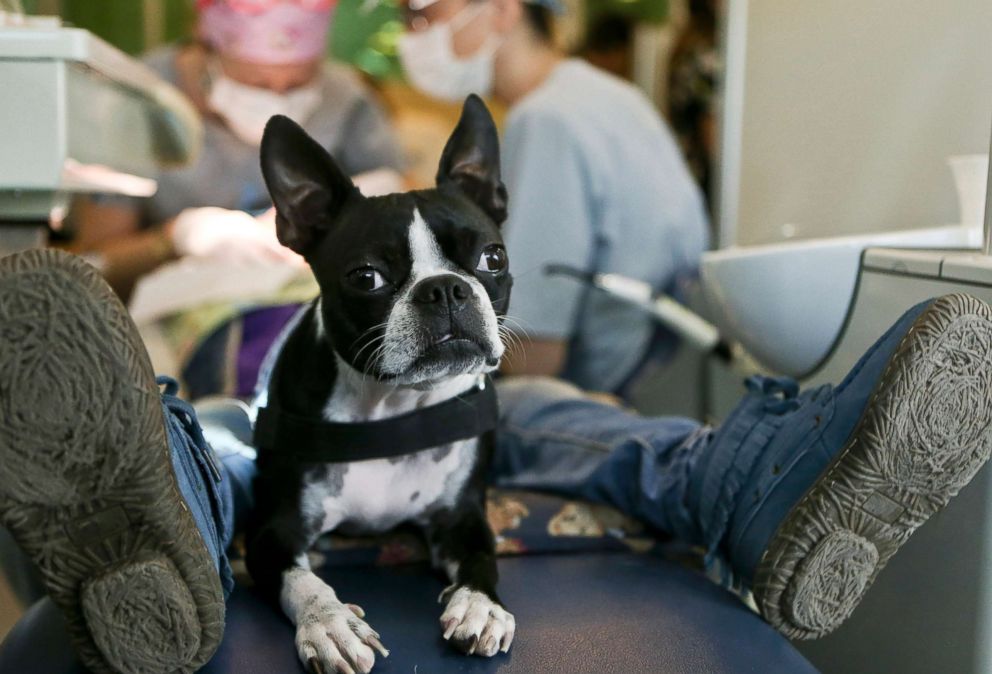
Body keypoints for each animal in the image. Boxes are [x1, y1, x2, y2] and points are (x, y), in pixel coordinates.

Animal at [245, 96, 516, 672]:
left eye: (493, 258)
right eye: (366, 277)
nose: (446, 289)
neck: (394, 408)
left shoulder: (463, 515)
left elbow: (484, 559)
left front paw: (481, 606)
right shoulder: (271, 530)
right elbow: (301, 580)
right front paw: (330, 625)